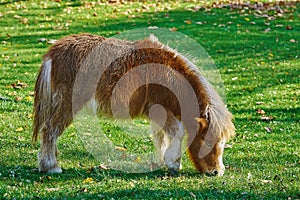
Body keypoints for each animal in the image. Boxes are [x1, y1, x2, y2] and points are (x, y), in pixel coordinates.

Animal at [32, 33, 234, 177]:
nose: (217, 172)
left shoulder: (158, 114)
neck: (172, 75)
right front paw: (173, 163)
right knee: (50, 130)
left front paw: (162, 162)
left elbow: (161, 137)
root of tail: (53, 54)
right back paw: (51, 166)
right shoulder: (159, 110)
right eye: (208, 141)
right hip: (66, 104)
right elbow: (177, 130)